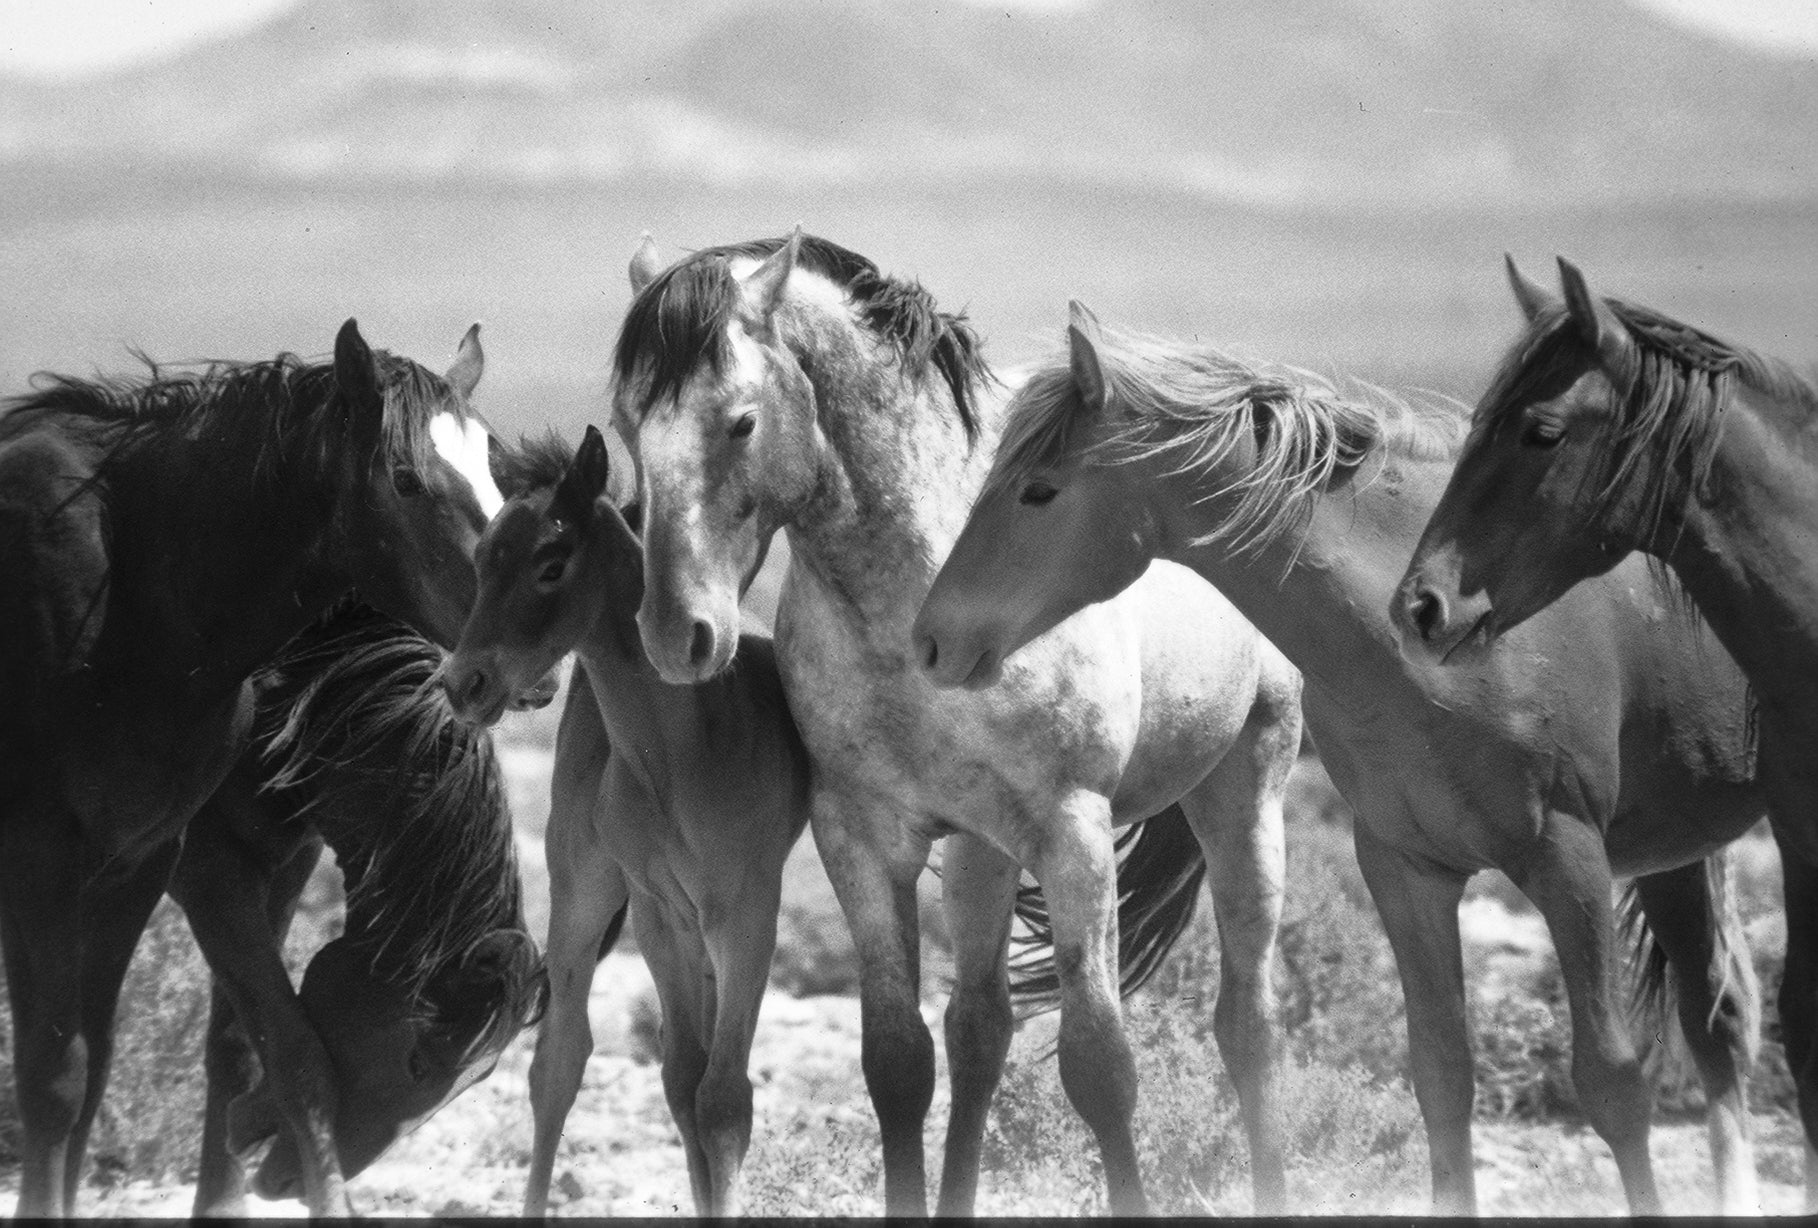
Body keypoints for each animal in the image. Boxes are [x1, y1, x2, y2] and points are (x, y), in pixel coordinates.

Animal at [0, 322, 505, 1215]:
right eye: (405, 480)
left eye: (494, 469)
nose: (278, 1175)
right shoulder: (106, 865)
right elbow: (59, 1077)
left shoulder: (174, 861)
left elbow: (227, 1050)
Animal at [439, 427, 810, 1215]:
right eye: (484, 559)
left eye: (552, 563)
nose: (463, 683)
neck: (675, 753)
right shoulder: (657, 908)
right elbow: (687, 1081)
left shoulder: (746, 911)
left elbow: (720, 1098)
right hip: (583, 888)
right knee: (559, 1065)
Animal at [614, 232, 1308, 1222]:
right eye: (628, 425)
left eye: (740, 422)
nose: (678, 635)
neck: (918, 588)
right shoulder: (862, 837)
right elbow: (899, 1063)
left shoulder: (1074, 833)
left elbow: (1100, 1067)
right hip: (983, 850)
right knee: (982, 1027)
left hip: (1246, 789)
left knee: (1248, 1022)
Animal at [916, 305, 1767, 1222]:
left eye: (1039, 489)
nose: (930, 639)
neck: (1439, 645)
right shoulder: (1405, 867)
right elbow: (1442, 1079)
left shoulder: (1568, 859)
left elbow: (1611, 1084)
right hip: (1676, 851)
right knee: (1716, 1021)